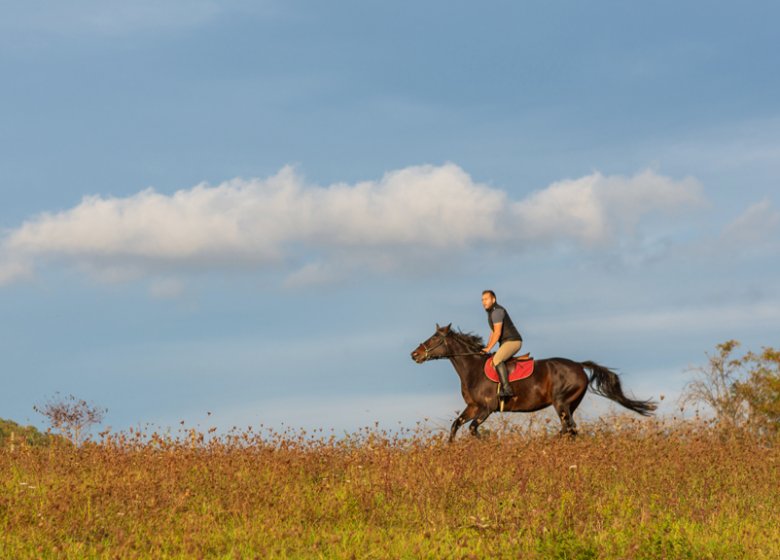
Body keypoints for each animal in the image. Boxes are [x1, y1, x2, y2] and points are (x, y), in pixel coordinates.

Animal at [412, 324, 656, 442]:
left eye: (435, 338)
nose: (414, 354)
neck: (472, 368)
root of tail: (578, 365)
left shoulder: (487, 408)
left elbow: (472, 429)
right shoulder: (473, 407)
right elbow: (456, 425)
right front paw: (450, 448)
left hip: (561, 402)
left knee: (568, 428)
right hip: (570, 404)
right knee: (571, 429)